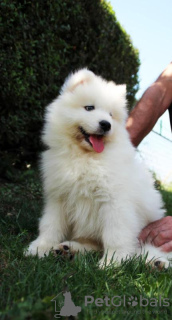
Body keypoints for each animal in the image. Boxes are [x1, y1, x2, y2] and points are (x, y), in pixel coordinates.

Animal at [25, 69, 172, 268]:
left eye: (111, 115)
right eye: (89, 108)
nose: (106, 124)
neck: (86, 157)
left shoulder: (115, 203)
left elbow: (115, 235)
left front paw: (112, 262)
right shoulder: (58, 198)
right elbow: (50, 225)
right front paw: (40, 247)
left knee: (146, 250)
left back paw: (156, 262)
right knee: (92, 245)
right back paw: (68, 250)